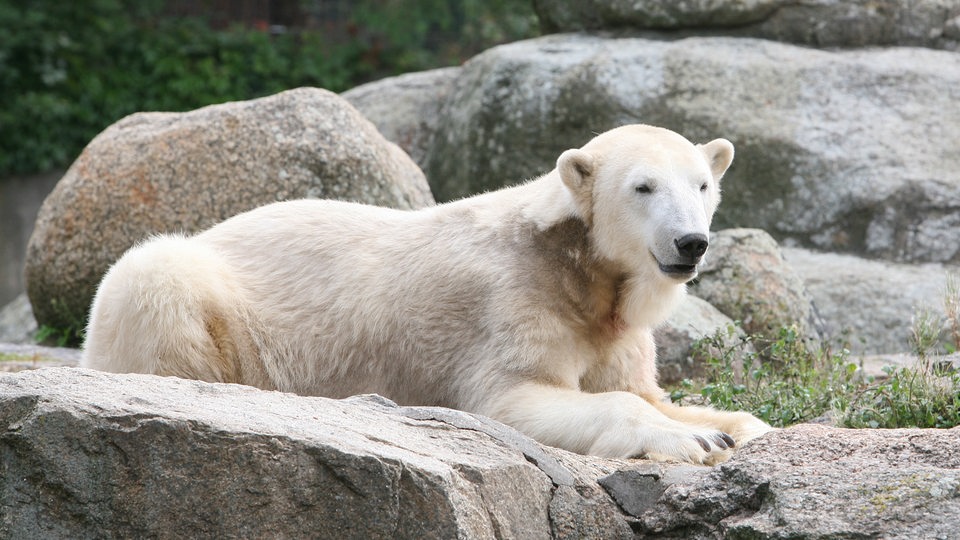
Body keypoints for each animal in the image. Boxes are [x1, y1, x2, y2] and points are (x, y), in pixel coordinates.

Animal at [82, 123, 772, 464]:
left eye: (702, 183)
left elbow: (648, 391)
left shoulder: (613, 330)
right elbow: (514, 399)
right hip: (184, 289)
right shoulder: (515, 305)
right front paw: (693, 442)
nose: (690, 242)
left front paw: (734, 429)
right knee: (157, 278)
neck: (576, 265)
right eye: (643, 187)